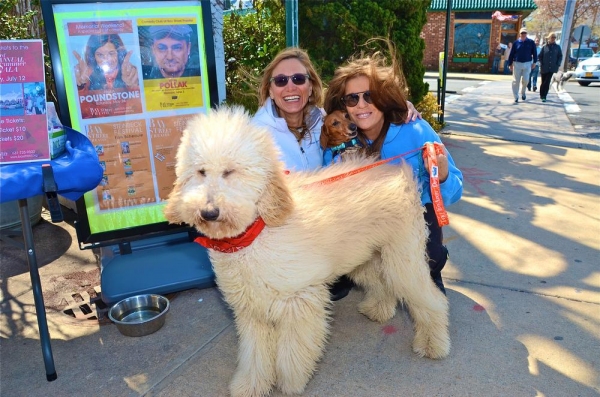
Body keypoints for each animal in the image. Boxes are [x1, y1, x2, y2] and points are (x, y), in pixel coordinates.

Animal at [164, 106, 450, 396]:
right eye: (200, 171)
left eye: (230, 172)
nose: (209, 212)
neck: (255, 233)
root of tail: (399, 172)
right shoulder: (251, 310)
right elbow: (254, 353)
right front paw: (251, 385)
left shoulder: (299, 301)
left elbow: (292, 352)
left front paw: (290, 383)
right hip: (366, 257)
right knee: (381, 283)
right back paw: (379, 309)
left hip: (403, 258)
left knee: (431, 299)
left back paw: (433, 344)